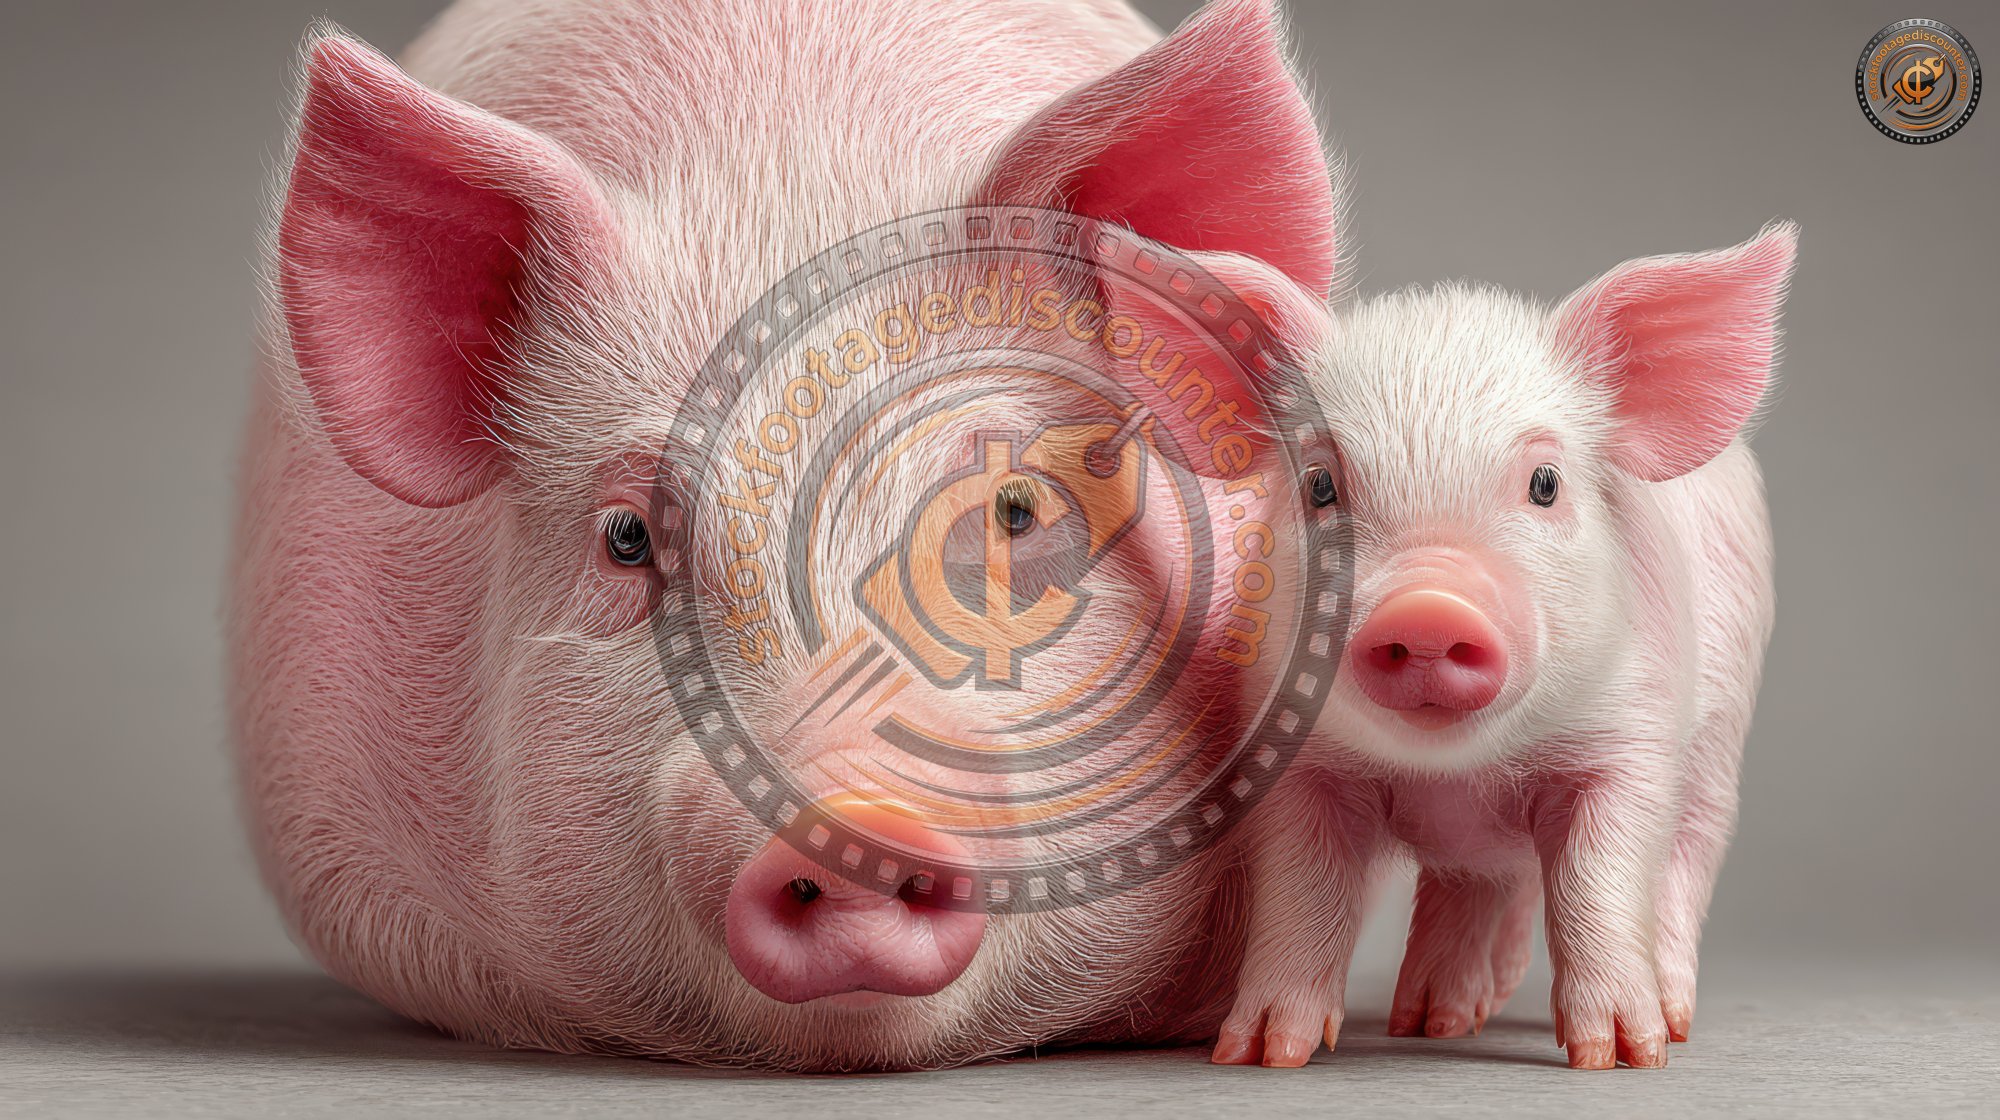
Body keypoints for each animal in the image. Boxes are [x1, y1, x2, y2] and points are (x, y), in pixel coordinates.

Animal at [1199, 222, 1795, 1069]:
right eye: (1319, 485)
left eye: (1545, 483)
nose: (1426, 606)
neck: (1458, 774)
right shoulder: (1298, 766)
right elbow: (1303, 890)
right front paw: (1257, 1054)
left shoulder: (1633, 742)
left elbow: (1598, 878)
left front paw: (1622, 1055)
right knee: (1478, 881)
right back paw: (1433, 1023)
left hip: (1720, 739)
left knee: (1688, 856)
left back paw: (1672, 1017)